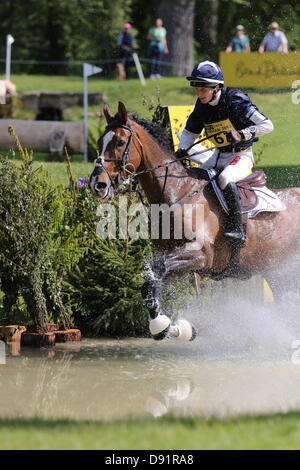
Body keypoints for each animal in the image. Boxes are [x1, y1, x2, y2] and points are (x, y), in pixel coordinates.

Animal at [89, 100, 300, 342]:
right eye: (99, 142)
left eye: (120, 142)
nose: (97, 185)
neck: (178, 192)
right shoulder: (182, 262)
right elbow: (151, 284)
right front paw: (173, 328)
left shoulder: (201, 255)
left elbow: (155, 273)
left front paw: (167, 326)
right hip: (277, 272)